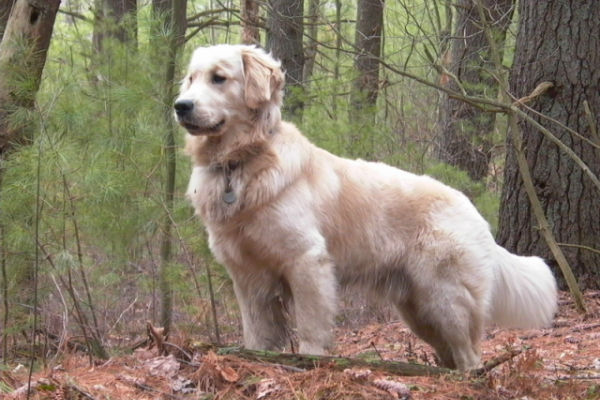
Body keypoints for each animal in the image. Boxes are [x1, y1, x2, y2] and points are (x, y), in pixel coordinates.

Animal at [173, 45, 556, 370]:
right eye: (191, 78)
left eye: (219, 78)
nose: (181, 105)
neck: (240, 163)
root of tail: (471, 210)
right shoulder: (247, 275)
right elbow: (256, 331)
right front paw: (257, 357)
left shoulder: (306, 261)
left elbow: (310, 326)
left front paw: (310, 361)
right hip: (419, 311)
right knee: (451, 355)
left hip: (447, 300)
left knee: (470, 355)